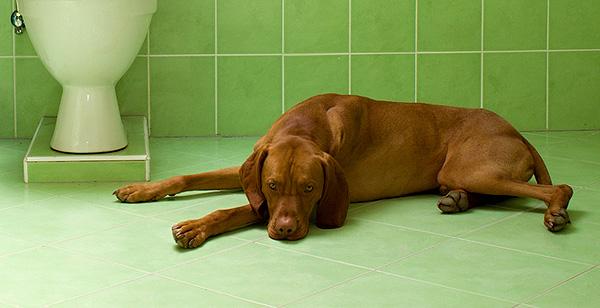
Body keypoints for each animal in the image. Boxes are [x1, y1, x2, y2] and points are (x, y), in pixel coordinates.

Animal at [112, 94, 572, 248]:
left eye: (310, 189)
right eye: (273, 184)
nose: (285, 231)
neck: (306, 123)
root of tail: (514, 130)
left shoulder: (309, 202)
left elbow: (233, 210)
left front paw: (195, 227)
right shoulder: (254, 172)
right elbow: (189, 177)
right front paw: (141, 188)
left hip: (472, 166)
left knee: (560, 188)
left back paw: (556, 213)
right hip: (459, 173)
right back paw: (457, 200)